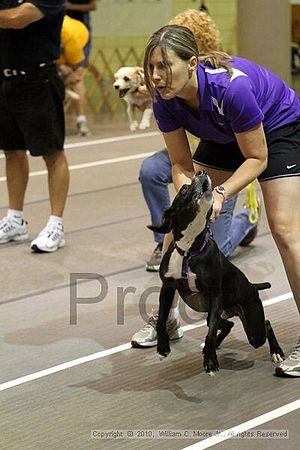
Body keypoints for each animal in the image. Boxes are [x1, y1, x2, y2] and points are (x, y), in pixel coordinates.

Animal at [149, 171, 284, 374]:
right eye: (184, 189)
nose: (201, 172)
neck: (189, 250)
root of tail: (252, 286)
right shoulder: (167, 288)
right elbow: (162, 320)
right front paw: (163, 347)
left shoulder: (215, 294)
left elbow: (211, 332)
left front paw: (210, 361)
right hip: (222, 313)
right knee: (229, 325)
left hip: (253, 326)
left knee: (265, 325)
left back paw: (276, 352)